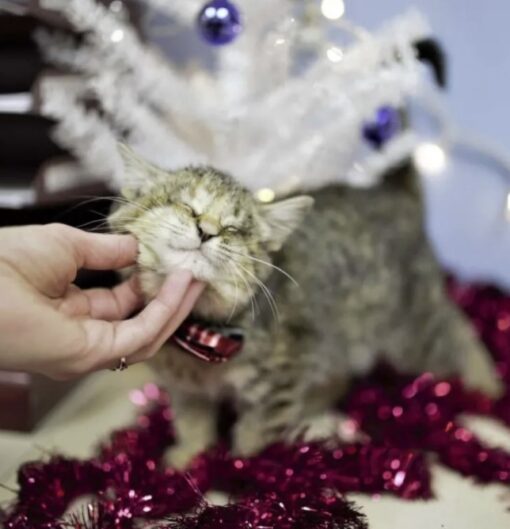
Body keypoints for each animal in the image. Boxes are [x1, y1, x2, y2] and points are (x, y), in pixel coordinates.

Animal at [108, 143, 502, 466]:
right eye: (187, 207)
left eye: (234, 229)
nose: (207, 231)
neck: (198, 330)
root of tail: (397, 195)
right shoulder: (186, 389)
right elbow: (191, 423)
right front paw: (189, 457)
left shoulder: (282, 379)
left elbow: (254, 435)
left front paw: (242, 475)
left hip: (413, 332)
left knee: (459, 332)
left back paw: (489, 387)